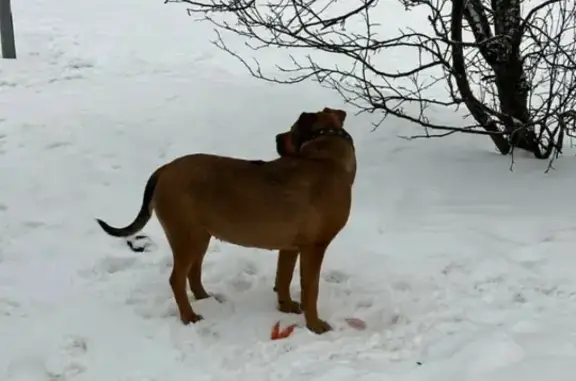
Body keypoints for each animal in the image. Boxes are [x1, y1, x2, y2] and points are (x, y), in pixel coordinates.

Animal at [95, 107, 356, 332]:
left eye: (291, 129)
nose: (276, 137)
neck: (326, 158)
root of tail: (165, 169)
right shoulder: (315, 246)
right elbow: (310, 289)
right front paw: (315, 325)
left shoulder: (291, 247)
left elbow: (283, 277)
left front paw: (286, 306)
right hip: (185, 235)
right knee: (176, 279)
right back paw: (188, 315)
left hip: (200, 235)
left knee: (193, 273)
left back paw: (204, 298)